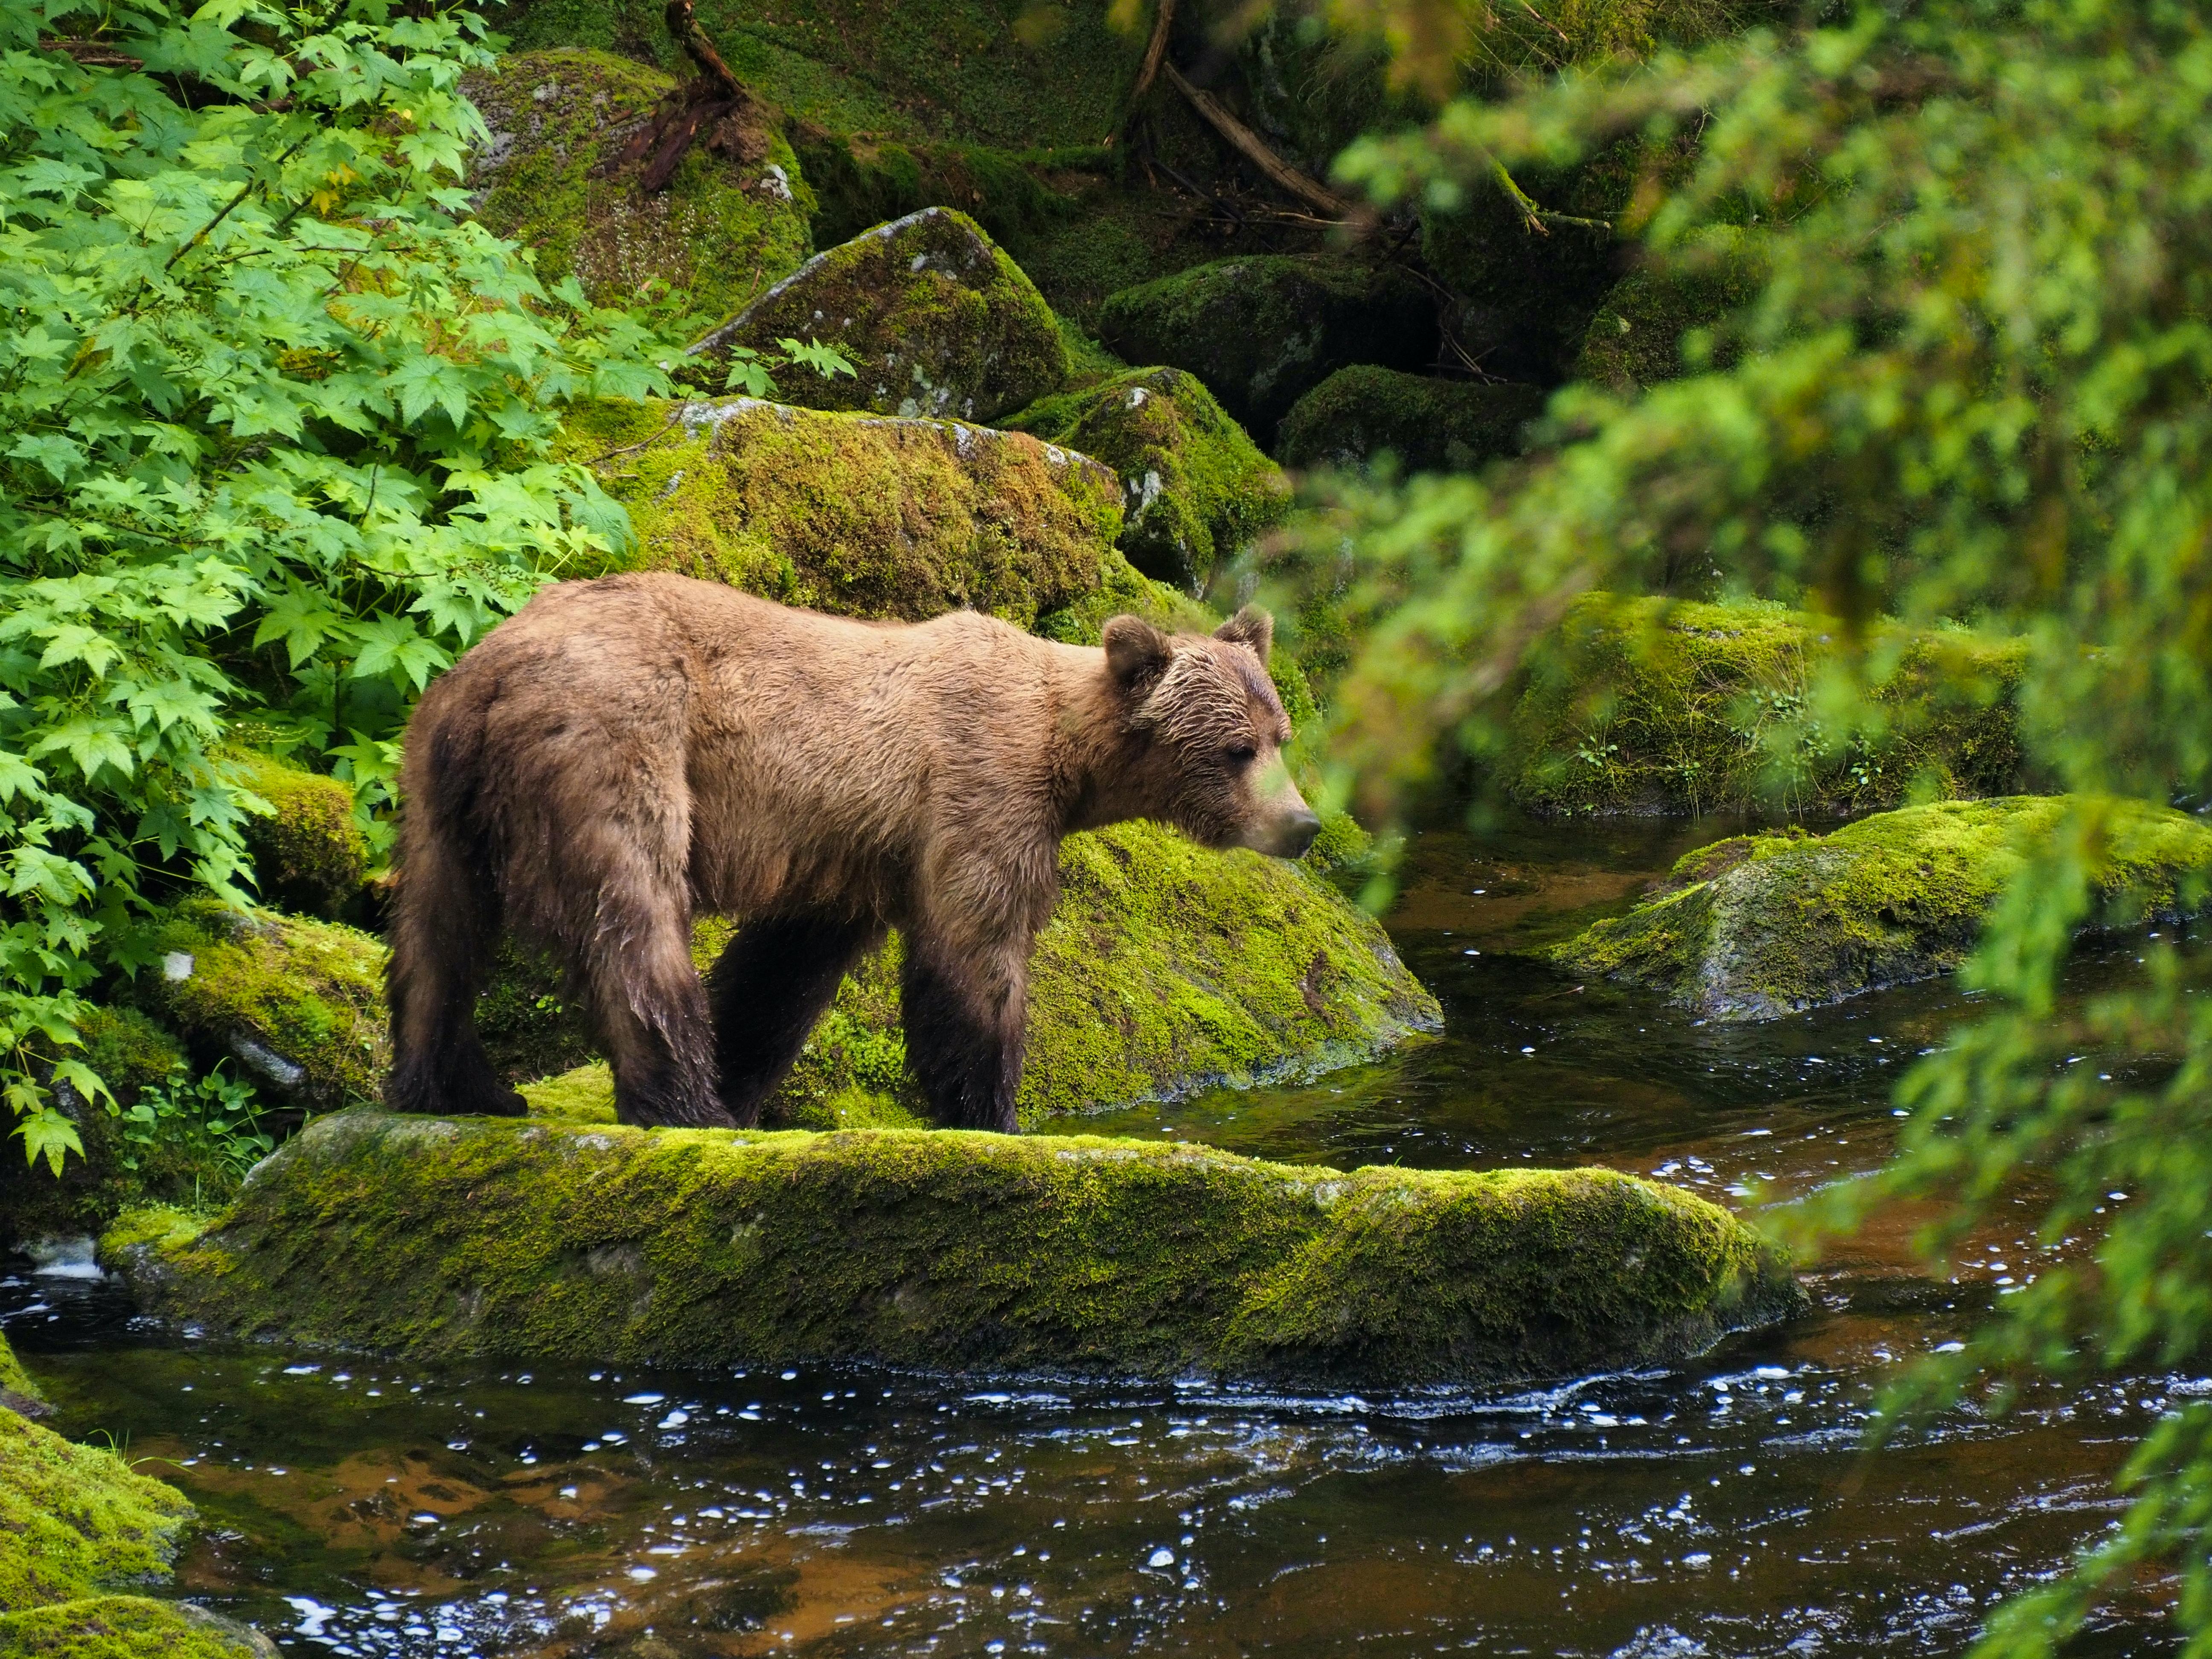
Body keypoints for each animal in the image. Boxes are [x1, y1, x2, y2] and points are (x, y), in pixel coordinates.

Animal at [384, 572, 1319, 1133]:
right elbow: (975, 949)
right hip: (619, 738)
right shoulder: (977, 790)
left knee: (436, 934)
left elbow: (782, 970)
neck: (1065, 752)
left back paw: (456, 1085)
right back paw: (684, 1103)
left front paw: (745, 1070)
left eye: (1281, 734)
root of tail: (494, 670)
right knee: (634, 915)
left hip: (439, 780)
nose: (1303, 825)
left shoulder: (851, 851)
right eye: (1236, 750)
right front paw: (990, 1109)